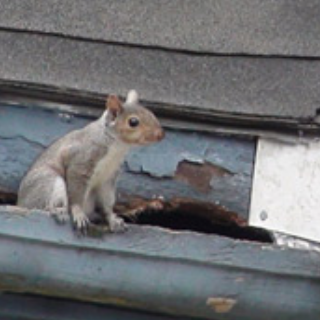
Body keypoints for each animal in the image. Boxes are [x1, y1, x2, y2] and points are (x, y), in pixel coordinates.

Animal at [16, 90, 165, 232]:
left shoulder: (108, 178)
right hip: (48, 181)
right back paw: (57, 210)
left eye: (151, 113)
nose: (161, 135)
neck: (117, 146)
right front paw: (78, 213)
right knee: (42, 203)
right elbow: (76, 194)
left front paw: (113, 219)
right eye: (133, 122)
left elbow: (107, 201)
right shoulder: (81, 161)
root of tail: (20, 202)